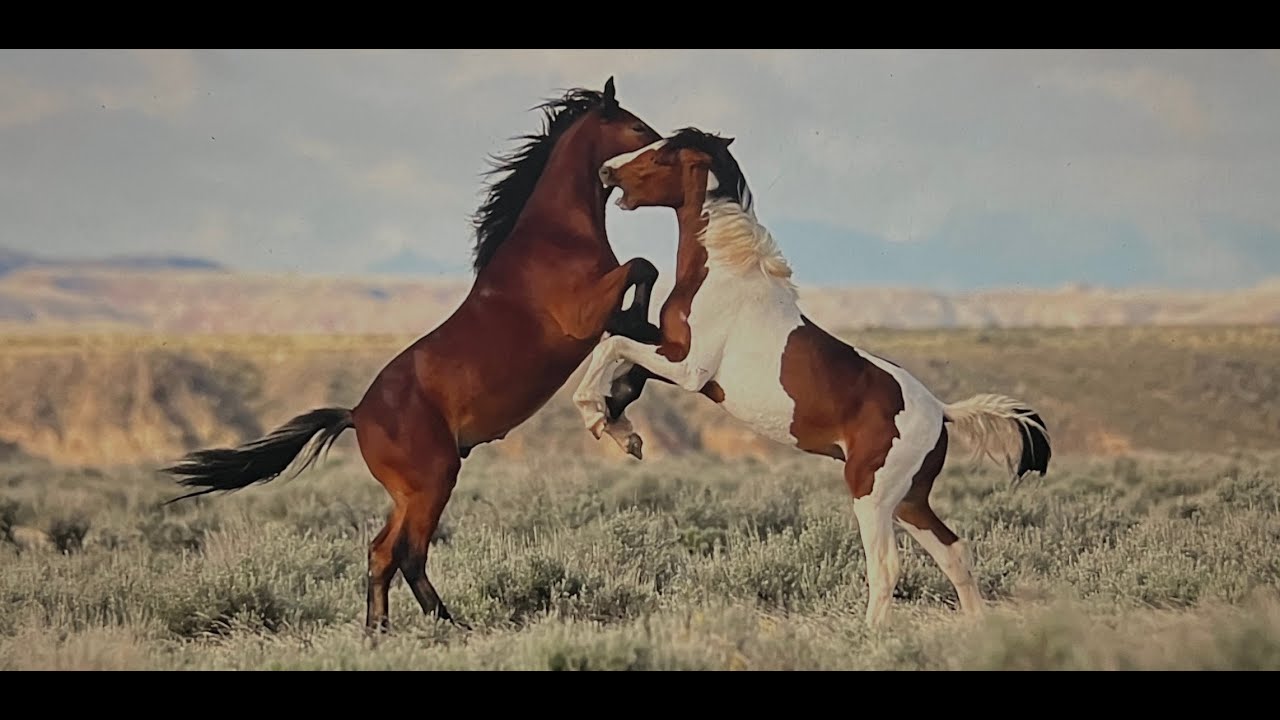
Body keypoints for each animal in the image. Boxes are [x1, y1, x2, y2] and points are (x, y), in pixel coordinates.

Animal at [160, 77, 668, 635]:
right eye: (636, 127)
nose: (672, 146)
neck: (556, 234)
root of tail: (357, 414)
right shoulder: (584, 316)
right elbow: (643, 269)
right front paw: (631, 373)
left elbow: (642, 300)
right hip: (433, 481)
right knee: (407, 554)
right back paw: (443, 626)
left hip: (408, 493)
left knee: (382, 553)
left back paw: (382, 631)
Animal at [571, 127, 1053, 627]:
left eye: (663, 154)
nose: (606, 170)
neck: (723, 272)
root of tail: (942, 411)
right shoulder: (672, 353)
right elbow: (626, 359)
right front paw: (620, 425)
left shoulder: (689, 369)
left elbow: (613, 345)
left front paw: (596, 415)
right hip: (910, 499)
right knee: (954, 551)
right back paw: (979, 627)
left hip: (872, 492)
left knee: (886, 566)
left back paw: (871, 633)